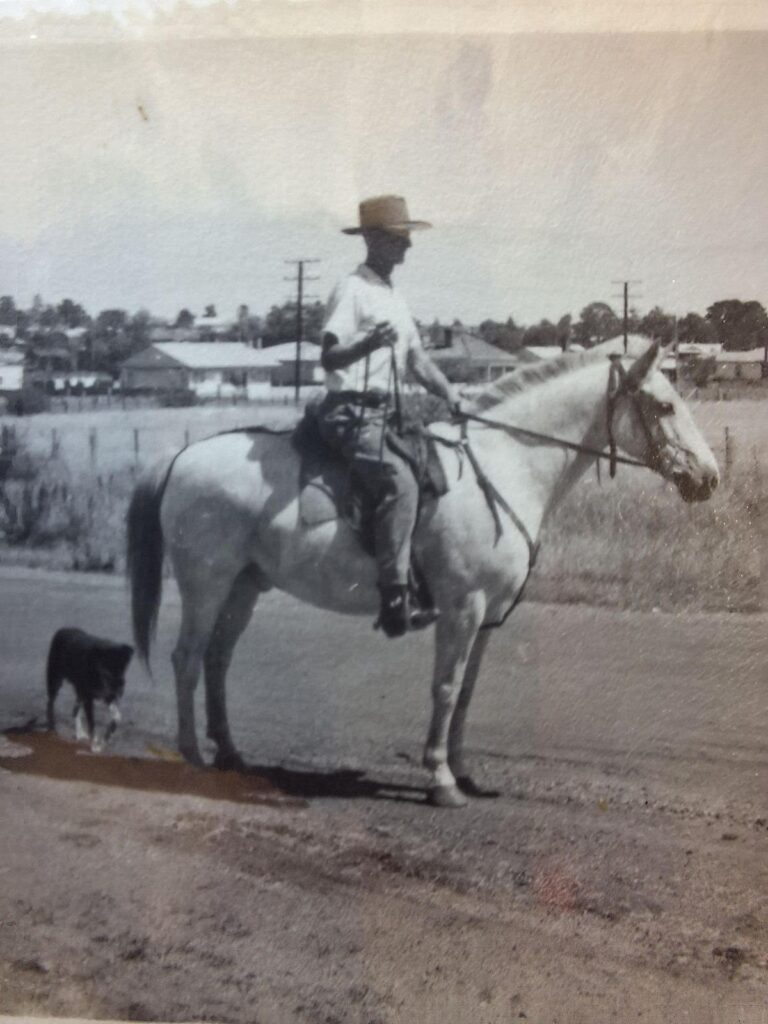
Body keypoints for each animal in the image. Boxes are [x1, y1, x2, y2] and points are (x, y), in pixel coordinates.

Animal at [128, 337, 720, 806]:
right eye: (665, 405)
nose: (709, 477)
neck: (503, 465)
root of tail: (180, 458)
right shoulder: (462, 607)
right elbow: (445, 687)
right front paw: (440, 780)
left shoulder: (486, 616)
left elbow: (467, 691)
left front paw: (462, 769)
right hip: (206, 583)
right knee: (187, 658)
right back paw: (193, 756)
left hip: (244, 586)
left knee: (217, 659)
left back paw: (229, 753)